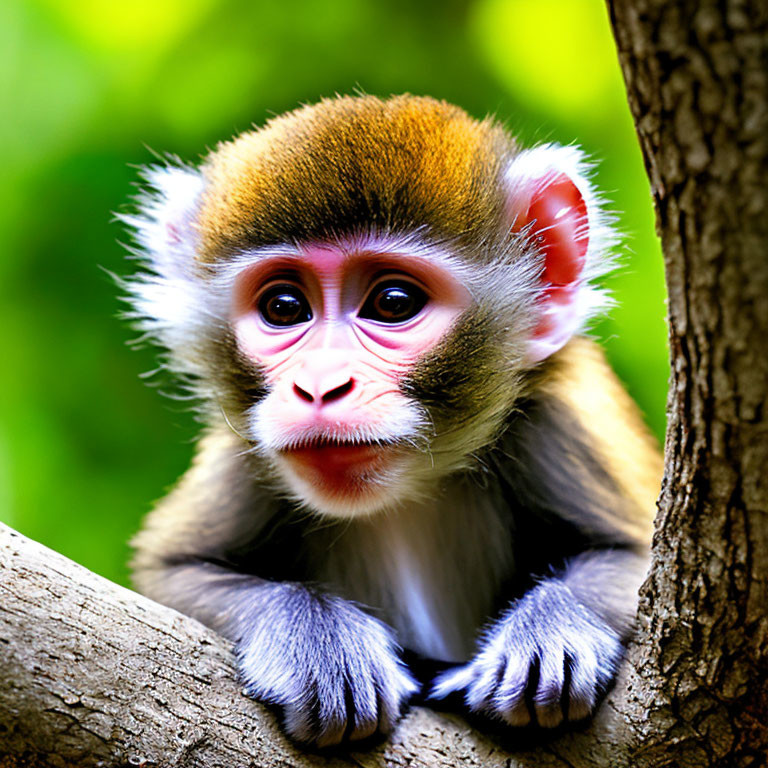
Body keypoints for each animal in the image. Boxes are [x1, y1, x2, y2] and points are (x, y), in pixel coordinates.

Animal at [123, 93, 664, 748]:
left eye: (393, 303)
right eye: (284, 308)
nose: (320, 386)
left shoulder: (557, 416)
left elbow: (635, 559)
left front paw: (551, 629)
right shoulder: (245, 452)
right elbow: (170, 574)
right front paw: (316, 636)